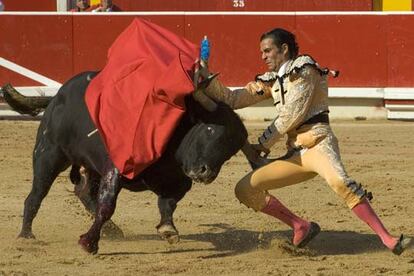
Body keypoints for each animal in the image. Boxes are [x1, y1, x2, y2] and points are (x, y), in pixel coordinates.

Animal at [17, 71, 249, 254]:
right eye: (209, 129)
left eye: (232, 149)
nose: (205, 173)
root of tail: (58, 95)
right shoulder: (116, 169)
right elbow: (107, 205)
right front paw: (89, 243)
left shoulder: (179, 182)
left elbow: (167, 203)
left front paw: (168, 230)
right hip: (49, 154)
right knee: (36, 195)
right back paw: (26, 236)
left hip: (92, 165)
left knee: (84, 192)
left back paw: (111, 229)